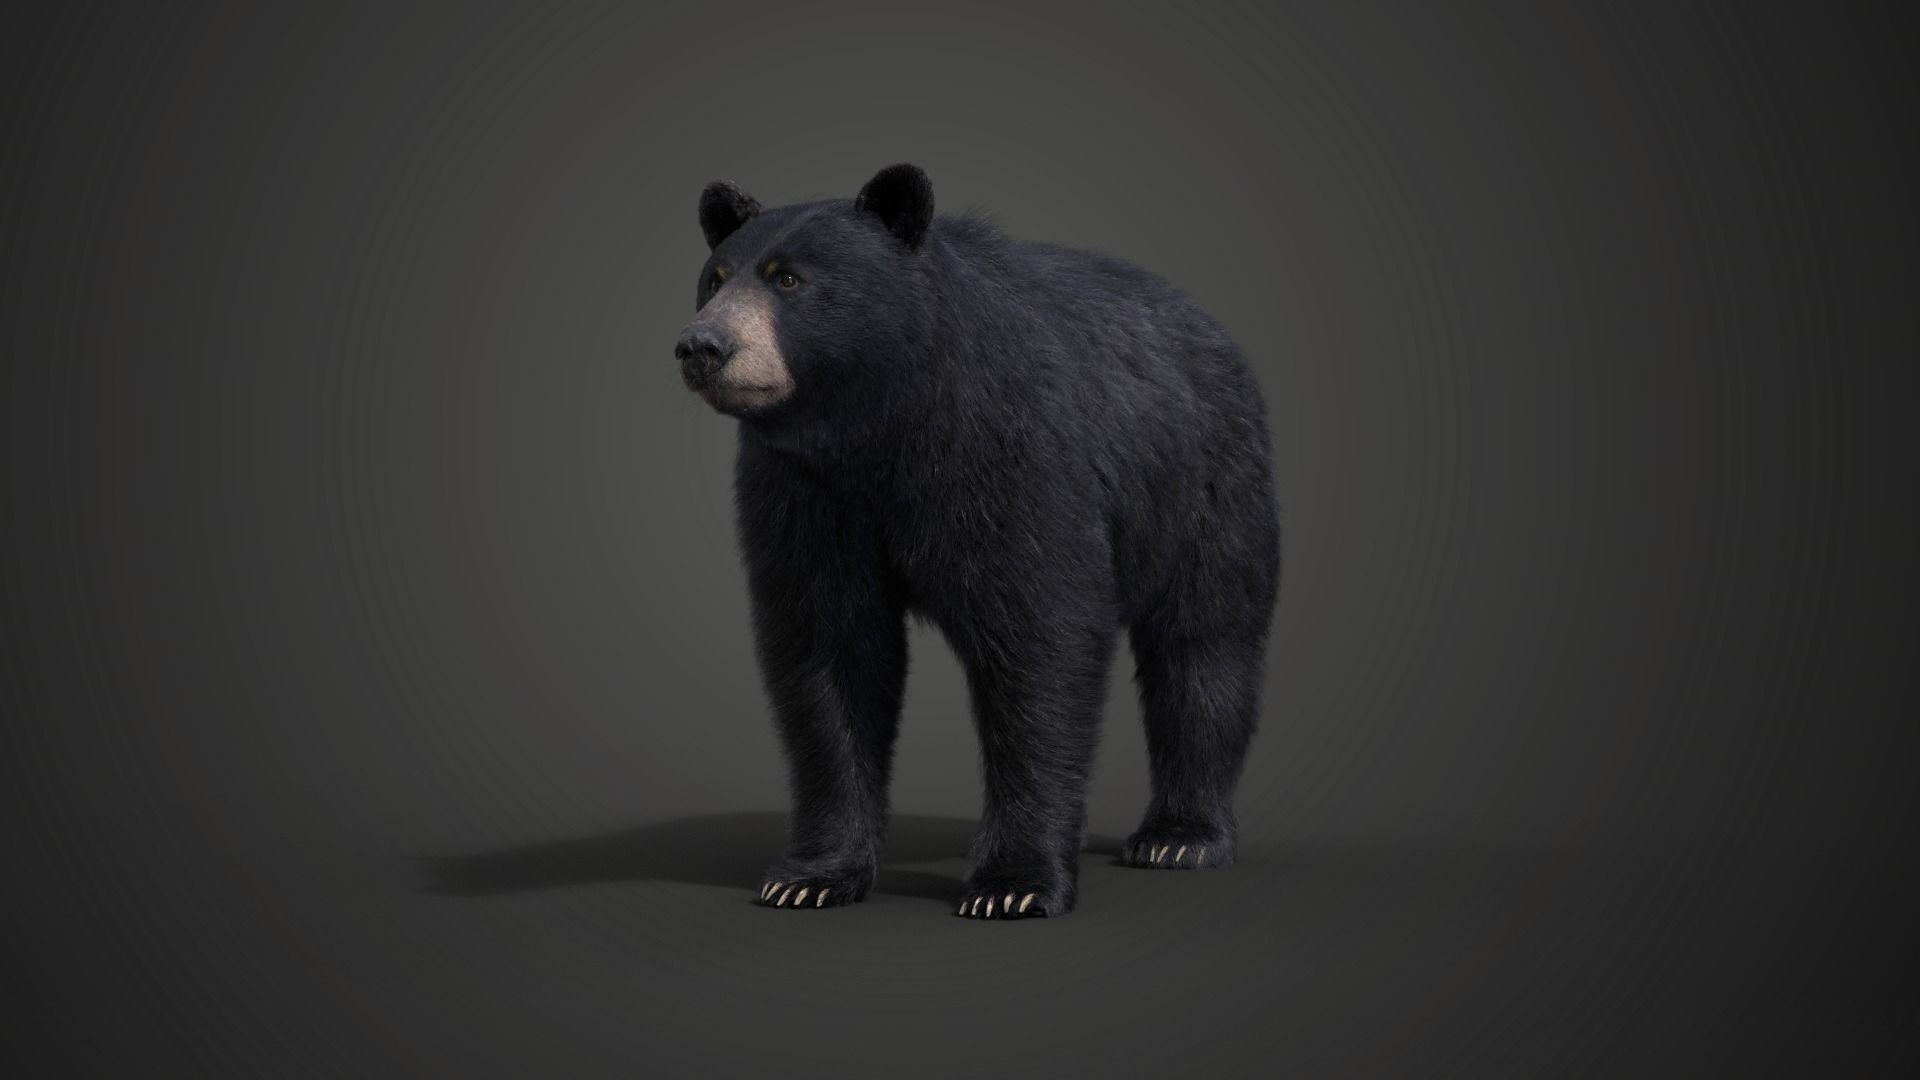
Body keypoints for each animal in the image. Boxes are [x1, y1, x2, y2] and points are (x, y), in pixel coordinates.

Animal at [674, 164, 1281, 919]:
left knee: (1203, 646)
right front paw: (810, 875)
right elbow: (827, 651)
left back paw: (1181, 836)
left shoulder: (1007, 453)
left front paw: (1014, 884)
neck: (876, 423)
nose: (701, 347)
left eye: (788, 278)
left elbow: (1039, 637)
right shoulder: (805, 494)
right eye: (714, 278)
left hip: (1204, 483)